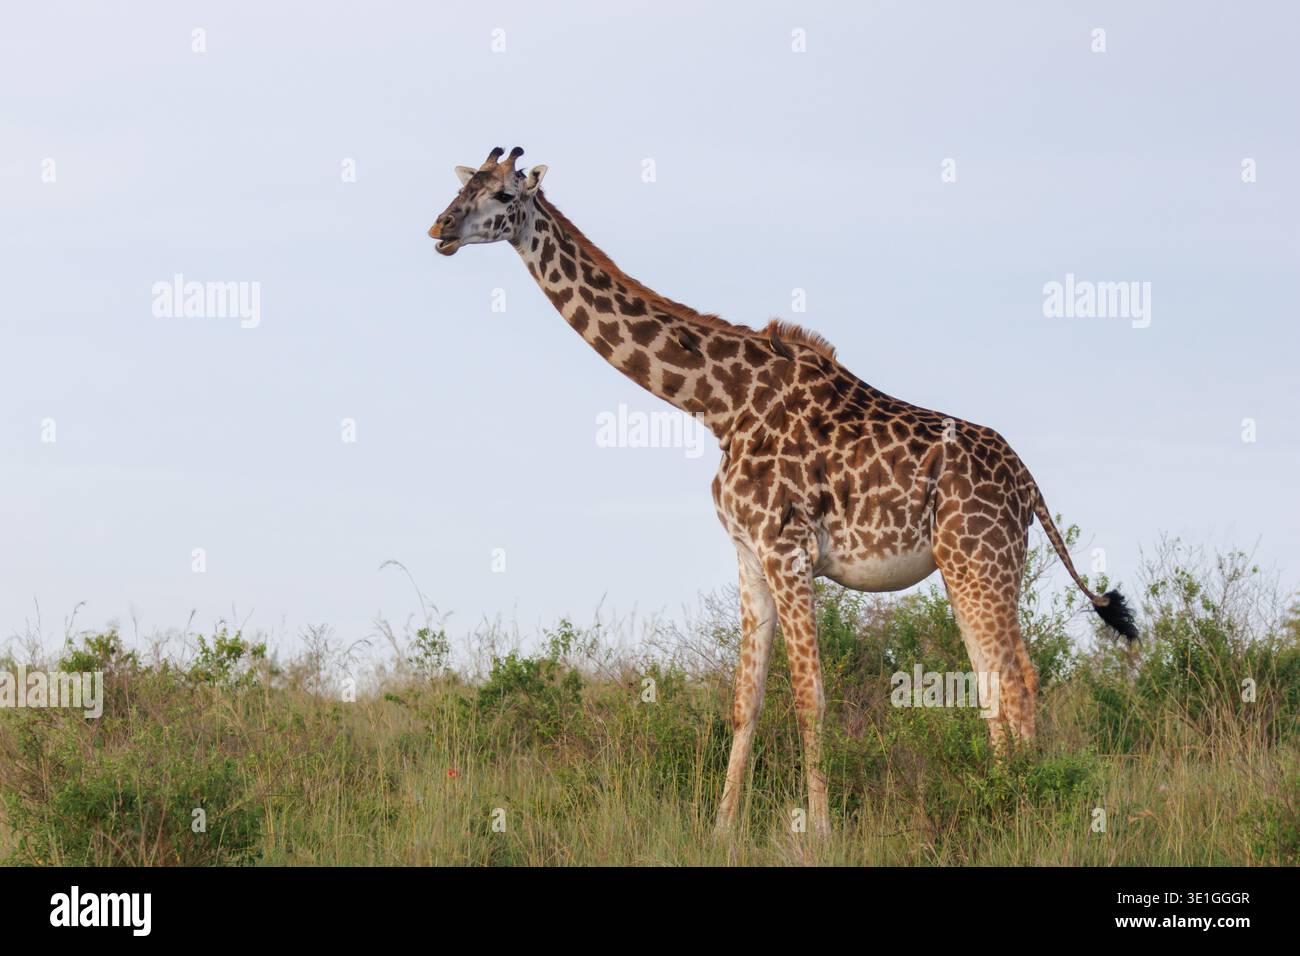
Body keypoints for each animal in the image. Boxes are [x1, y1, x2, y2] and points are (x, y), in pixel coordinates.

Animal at [428, 147, 1139, 837]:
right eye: (463, 185)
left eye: (503, 194)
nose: (440, 228)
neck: (719, 405)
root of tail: (1029, 484)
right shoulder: (748, 555)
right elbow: (745, 701)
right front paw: (721, 830)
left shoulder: (788, 549)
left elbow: (809, 696)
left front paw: (818, 830)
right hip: (974, 564)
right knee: (997, 684)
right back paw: (1004, 800)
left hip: (979, 559)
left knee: (1015, 681)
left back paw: (1020, 809)